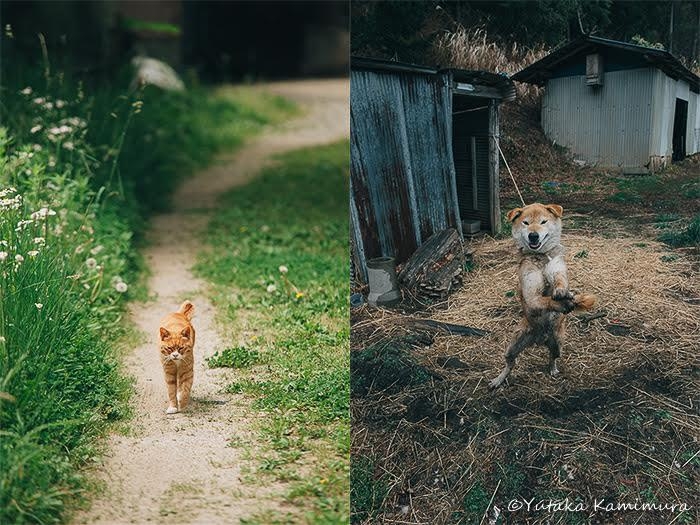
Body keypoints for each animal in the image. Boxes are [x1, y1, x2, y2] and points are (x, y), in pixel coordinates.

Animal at [486, 205, 596, 388]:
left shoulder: (557, 268)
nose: (533, 235)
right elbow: (545, 300)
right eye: (526, 223)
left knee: (553, 357)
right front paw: (562, 303)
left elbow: (560, 282)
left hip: (558, 343)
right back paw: (498, 380)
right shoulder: (532, 295)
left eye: (543, 221)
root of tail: (539, 340)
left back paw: (553, 369)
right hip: (512, 346)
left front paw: (564, 293)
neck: (542, 257)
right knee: (510, 364)